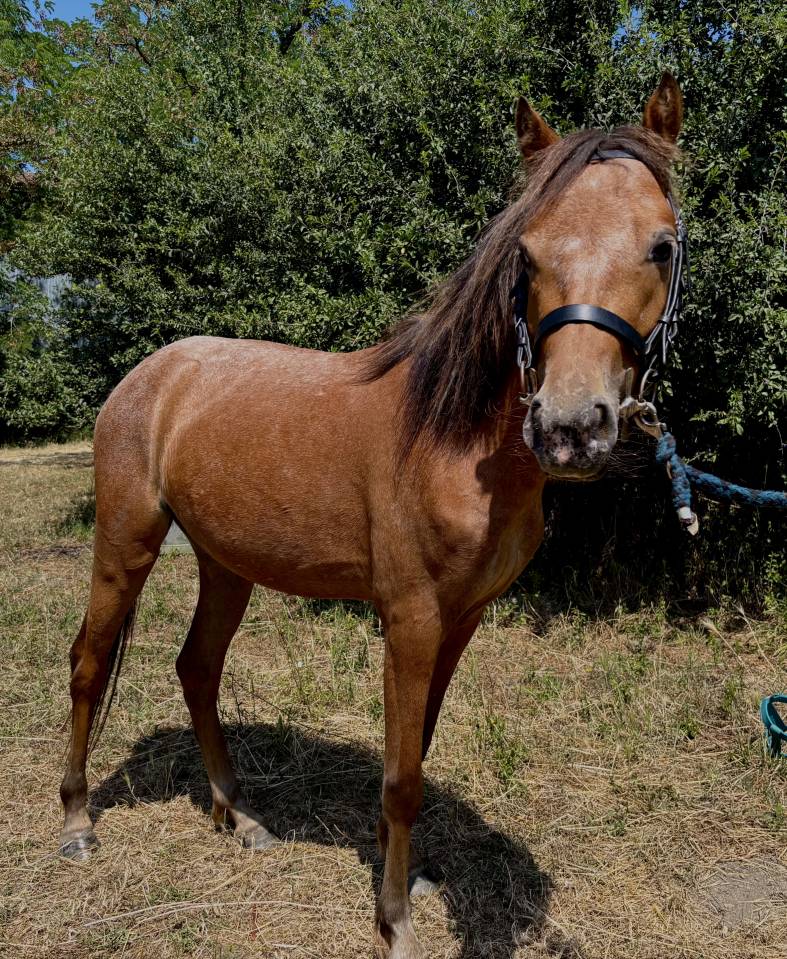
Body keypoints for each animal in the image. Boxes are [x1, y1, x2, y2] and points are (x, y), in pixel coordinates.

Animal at [59, 74, 685, 958]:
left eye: (661, 247)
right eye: (524, 255)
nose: (568, 427)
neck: (457, 439)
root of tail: (152, 374)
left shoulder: (461, 619)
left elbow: (414, 749)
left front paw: (407, 876)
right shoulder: (411, 618)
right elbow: (401, 776)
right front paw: (393, 919)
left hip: (225, 565)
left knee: (197, 669)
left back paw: (238, 816)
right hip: (125, 544)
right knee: (87, 665)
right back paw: (78, 821)